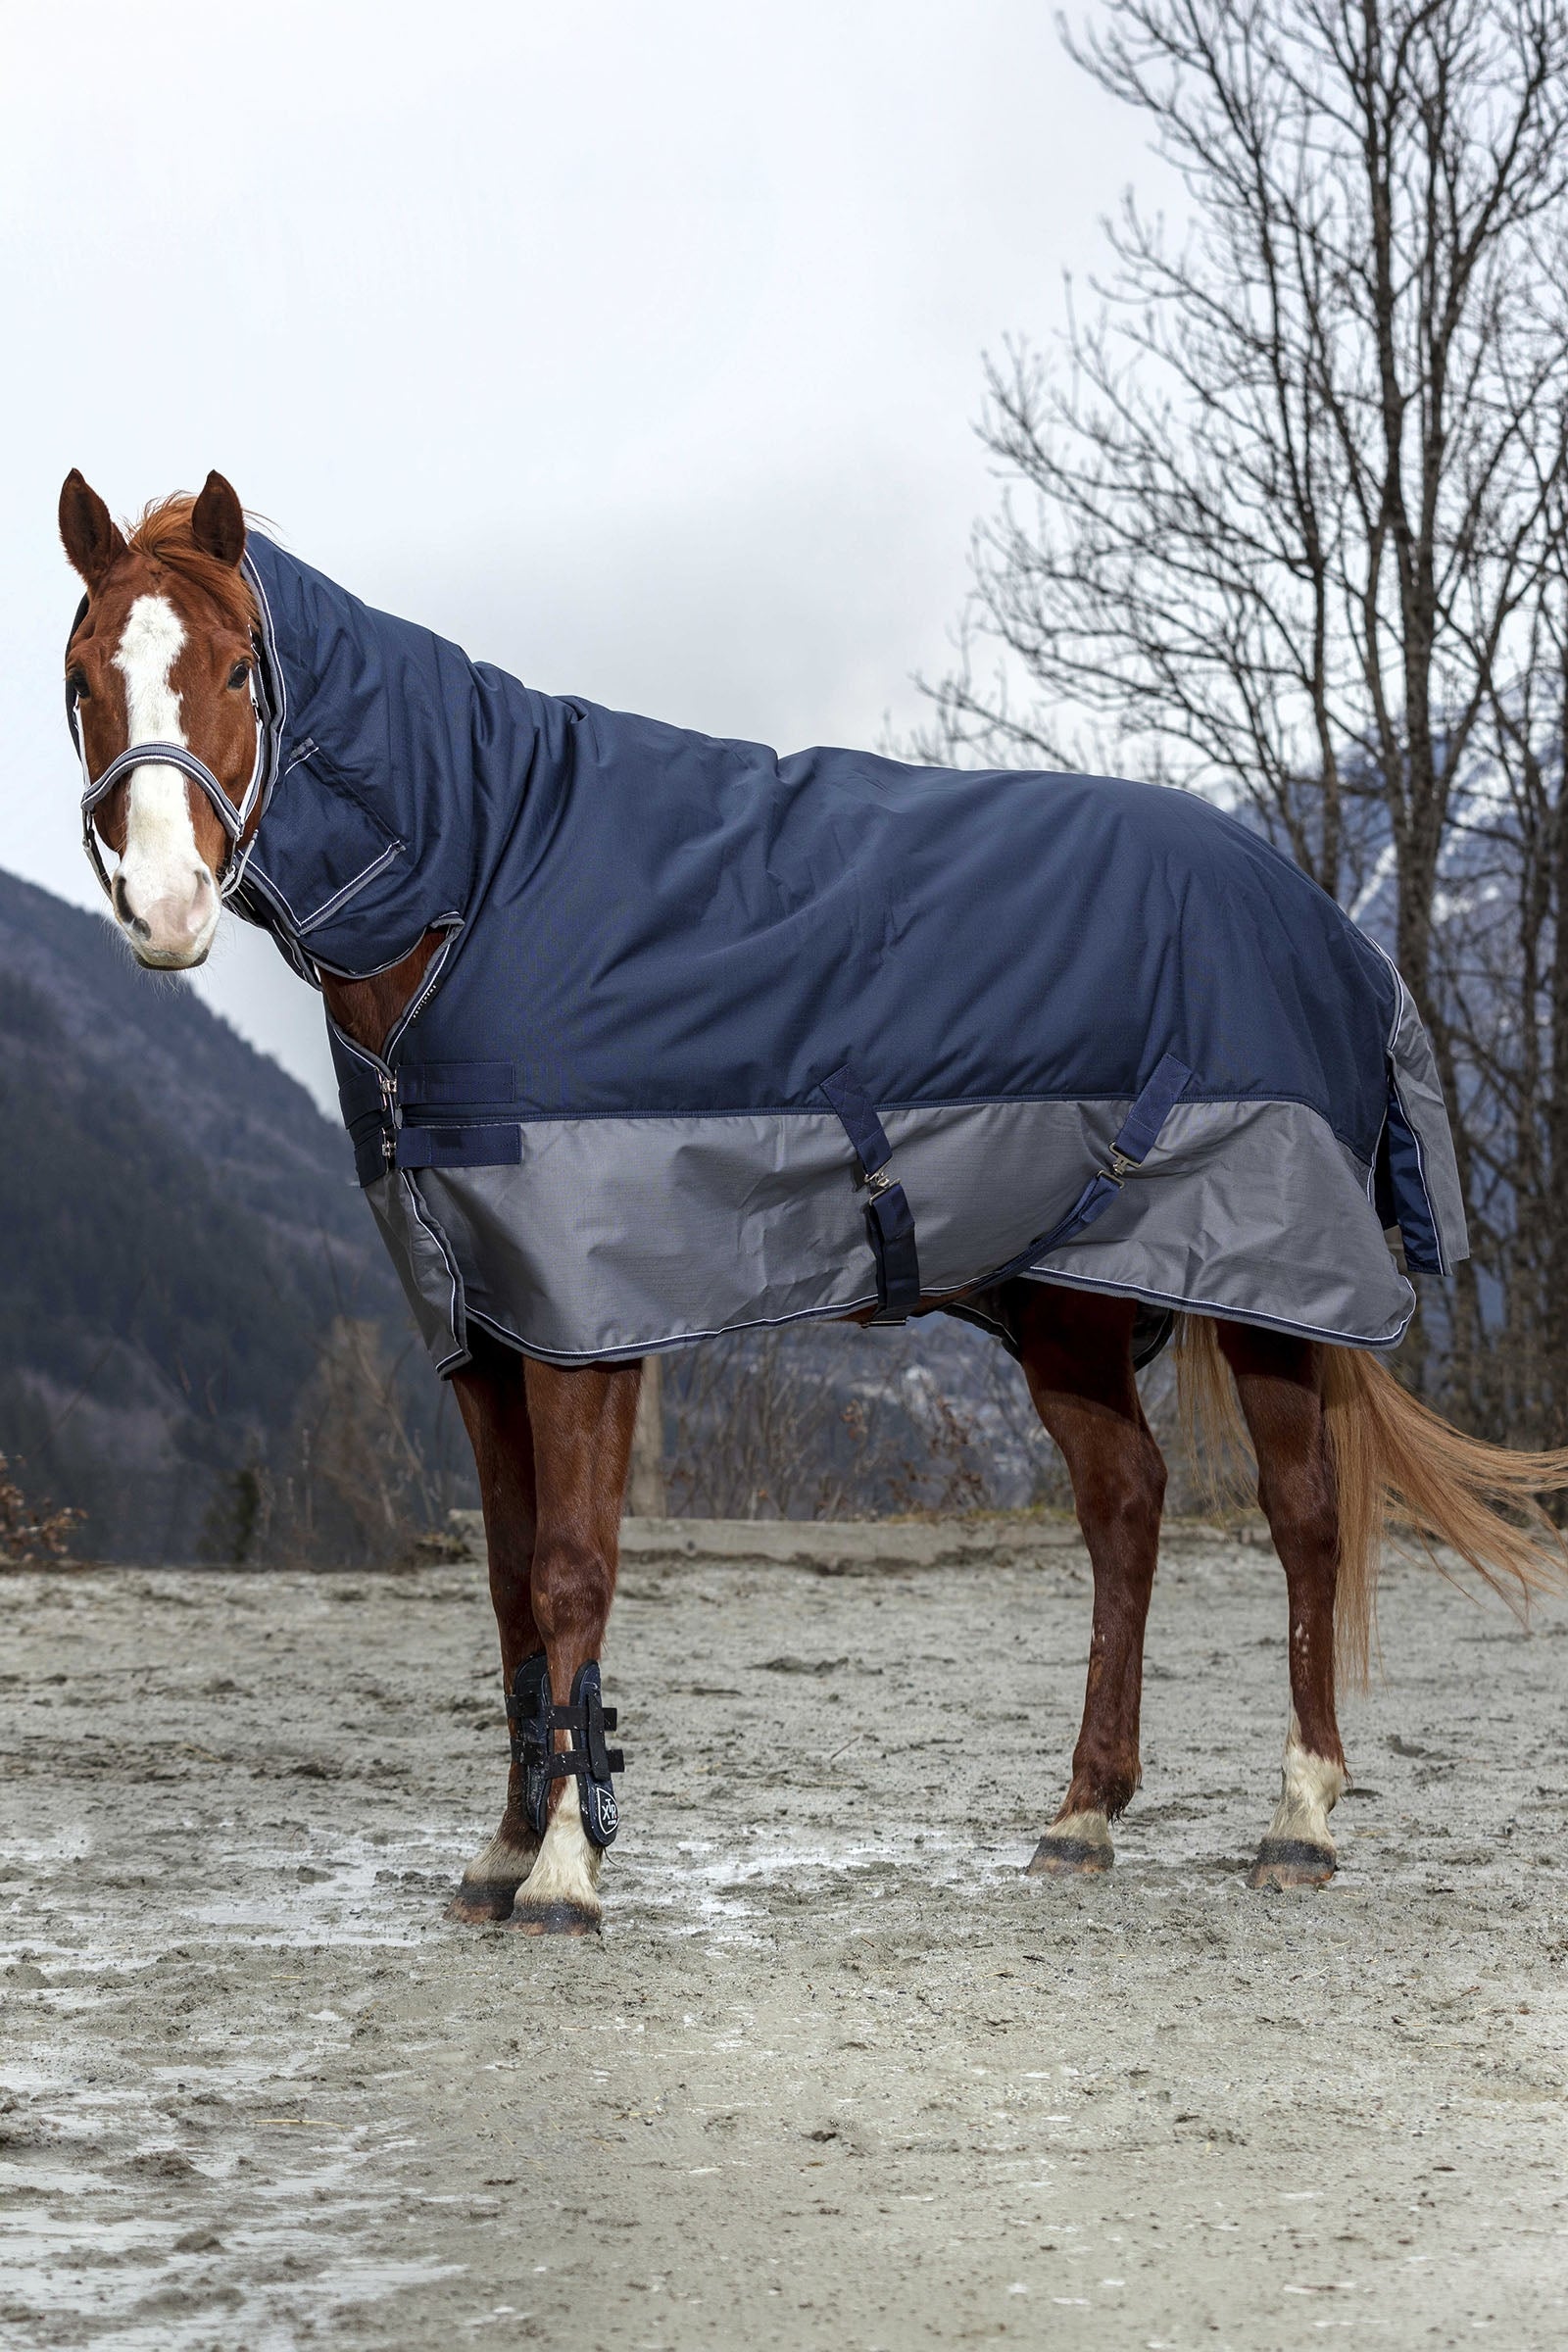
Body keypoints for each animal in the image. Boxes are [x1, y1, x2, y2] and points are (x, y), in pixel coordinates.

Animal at [57, 467, 1568, 1935]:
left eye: (240, 668)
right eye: (79, 678)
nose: (165, 904)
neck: (480, 888)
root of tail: (1330, 928)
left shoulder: (587, 1328)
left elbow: (569, 1572)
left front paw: (564, 1874)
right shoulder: (479, 1331)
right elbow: (504, 1592)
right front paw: (502, 1854)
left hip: (1267, 1282)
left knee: (1303, 1514)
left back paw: (1299, 1820)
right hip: (1071, 1308)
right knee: (1126, 1508)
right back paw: (1082, 1815)